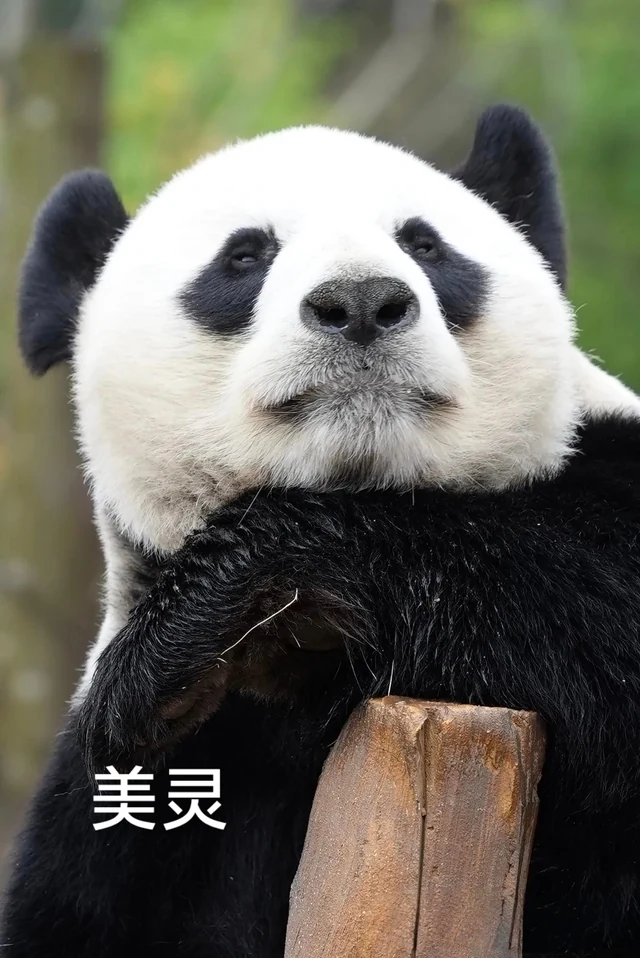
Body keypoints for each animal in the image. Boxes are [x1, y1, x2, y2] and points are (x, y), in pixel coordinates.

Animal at [3, 104, 640, 957]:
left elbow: (583, 585)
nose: (363, 303)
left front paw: (217, 614)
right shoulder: (128, 820)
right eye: (245, 255)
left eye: (425, 244)